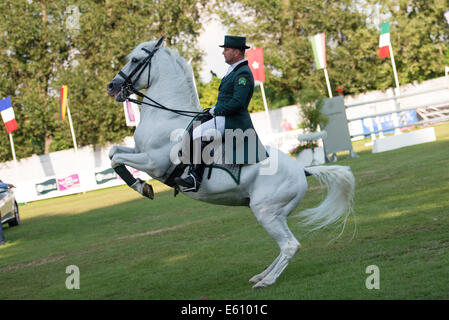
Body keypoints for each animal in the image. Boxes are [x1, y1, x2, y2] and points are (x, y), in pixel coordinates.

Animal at [105, 38, 354, 290]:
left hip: (265, 212)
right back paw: (261, 275)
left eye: (135, 60)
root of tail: (302, 170)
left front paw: (142, 187)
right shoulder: (140, 151)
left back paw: (266, 281)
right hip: (274, 214)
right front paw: (140, 184)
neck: (168, 116)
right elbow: (113, 152)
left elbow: (116, 159)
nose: (112, 86)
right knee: (286, 245)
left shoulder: (154, 162)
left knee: (290, 245)